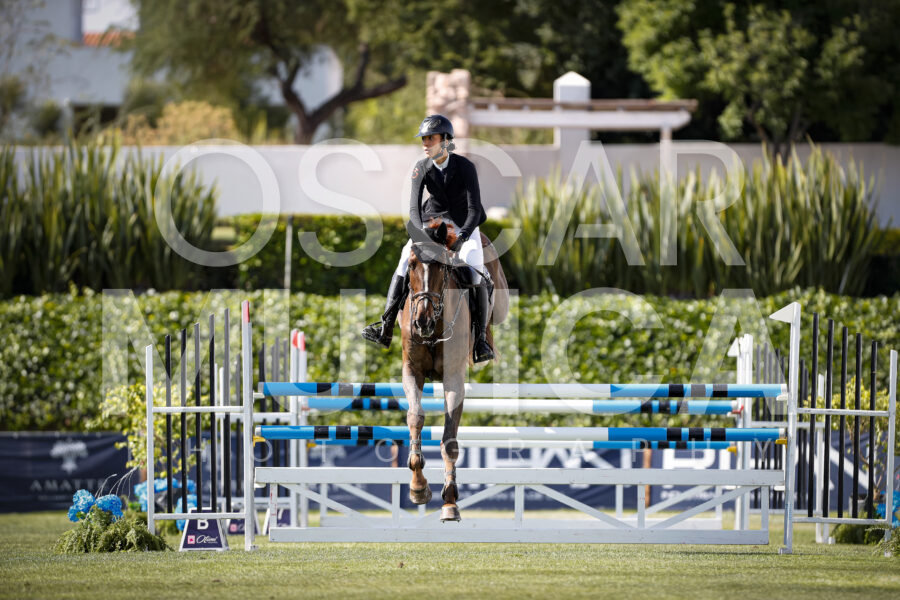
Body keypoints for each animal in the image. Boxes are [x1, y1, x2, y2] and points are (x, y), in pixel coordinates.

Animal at [401, 218, 509, 521]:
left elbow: (449, 440)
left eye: (442, 267)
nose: (422, 321)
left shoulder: (453, 380)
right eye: (411, 265)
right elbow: (415, 417)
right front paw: (418, 487)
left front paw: (450, 502)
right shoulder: (411, 371)